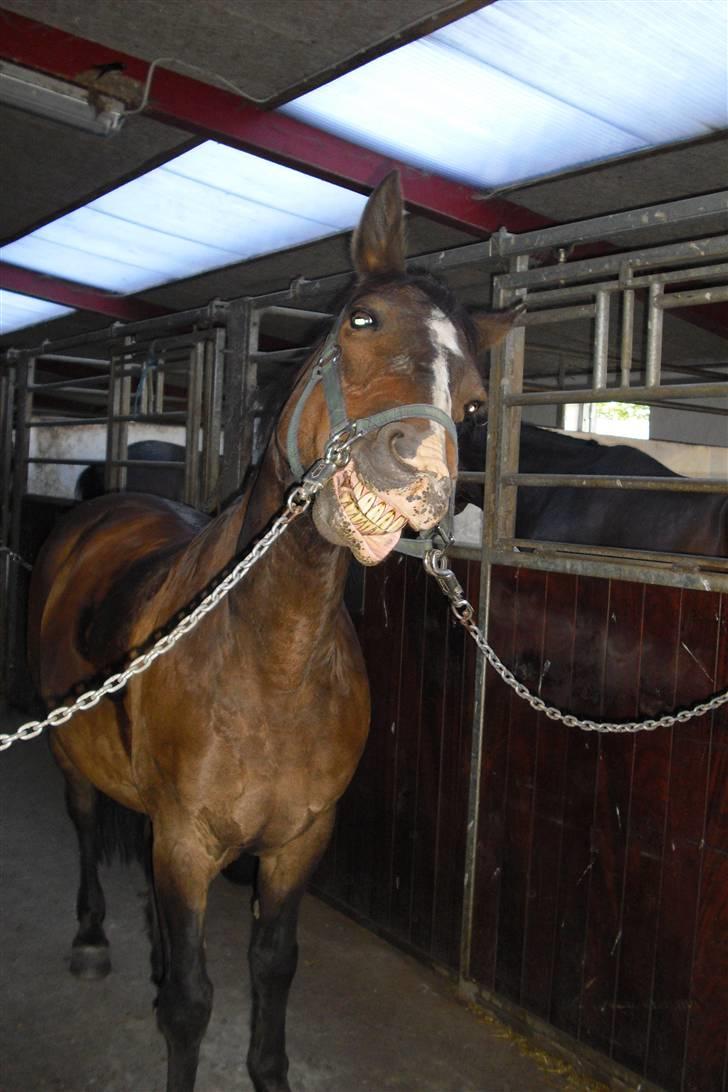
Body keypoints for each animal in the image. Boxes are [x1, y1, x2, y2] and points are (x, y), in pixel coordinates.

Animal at [27, 172, 520, 1092]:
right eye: (361, 321)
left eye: (475, 401)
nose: (417, 475)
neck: (271, 666)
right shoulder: (186, 844)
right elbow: (192, 1002)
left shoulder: (298, 843)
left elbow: (273, 964)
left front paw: (269, 1071)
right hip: (72, 753)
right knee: (83, 828)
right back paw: (91, 937)